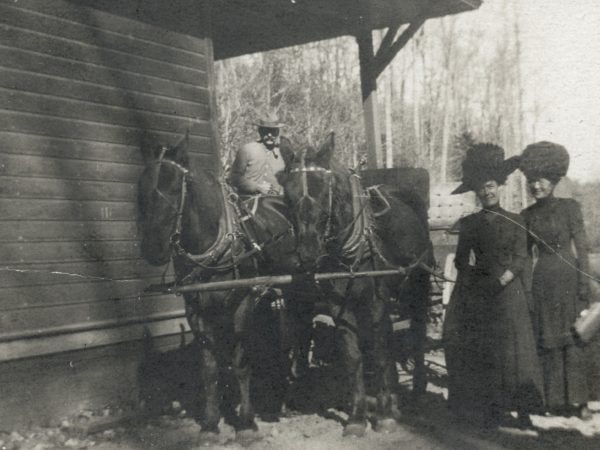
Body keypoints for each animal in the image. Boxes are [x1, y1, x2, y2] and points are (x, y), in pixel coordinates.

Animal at [137, 133, 310, 442]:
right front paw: (210, 422)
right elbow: (209, 368)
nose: (152, 249)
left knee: (301, 333)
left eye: (174, 187)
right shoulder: (196, 311)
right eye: (141, 187)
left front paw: (246, 422)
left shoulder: (243, 304)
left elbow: (240, 362)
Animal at [276, 134, 432, 436]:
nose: (308, 251)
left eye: (325, 190)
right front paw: (358, 416)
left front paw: (383, 413)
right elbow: (353, 356)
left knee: (416, 333)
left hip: (418, 287)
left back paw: (417, 390)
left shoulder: (376, 303)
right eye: (287, 193)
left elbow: (380, 352)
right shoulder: (341, 308)